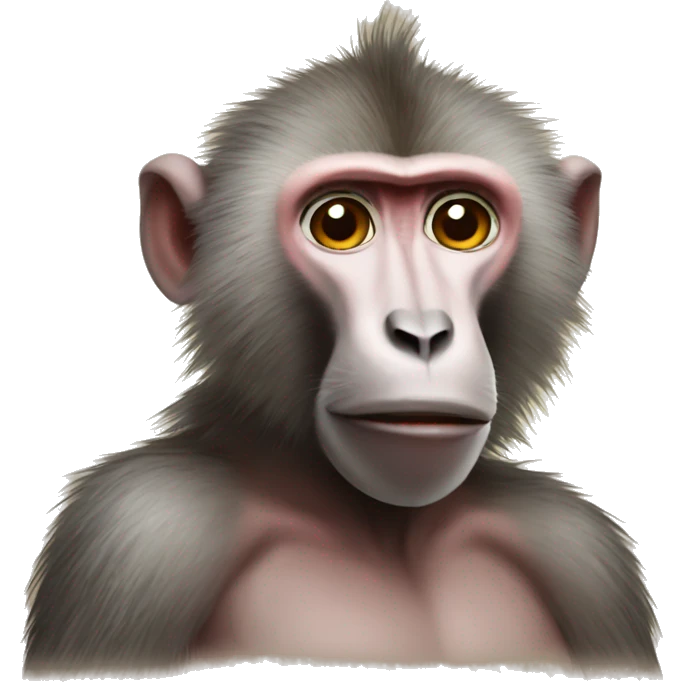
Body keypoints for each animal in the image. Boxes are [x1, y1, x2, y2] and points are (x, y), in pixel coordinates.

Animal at [25, 5, 659, 677]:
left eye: (460, 223)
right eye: (339, 224)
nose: (422, 332)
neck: (382, 526)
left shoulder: (578, 549)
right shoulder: (145, 529)